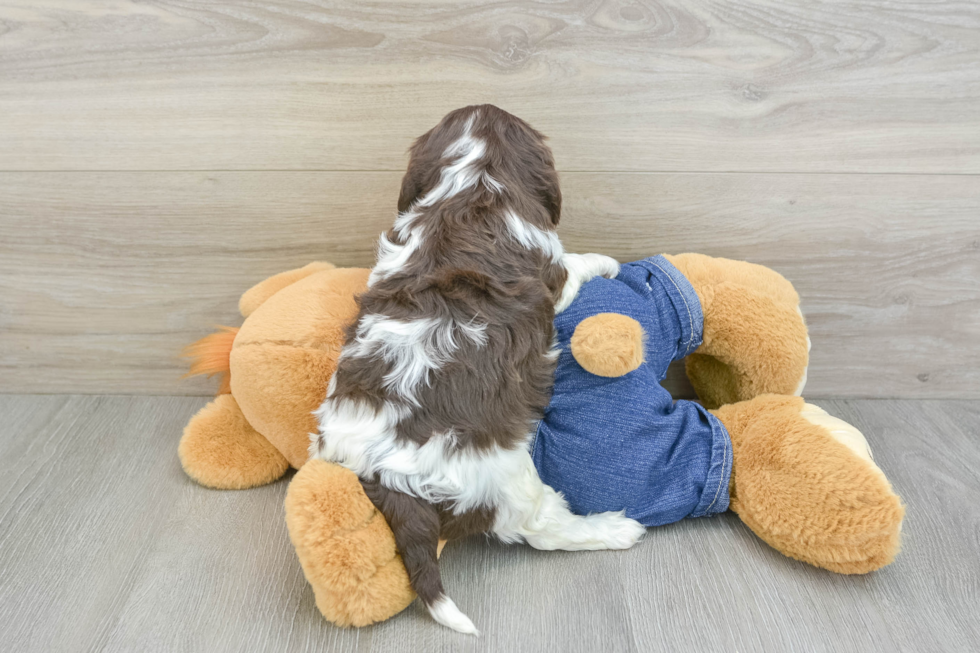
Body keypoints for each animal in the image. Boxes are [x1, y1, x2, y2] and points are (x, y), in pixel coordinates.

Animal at [312, 105, 644, 632]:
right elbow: (576, 263)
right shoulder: (554, 272)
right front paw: (608, 261)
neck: (473, 178)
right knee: (539, 527)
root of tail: (385, 475)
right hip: (504, 471)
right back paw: (614, 528)